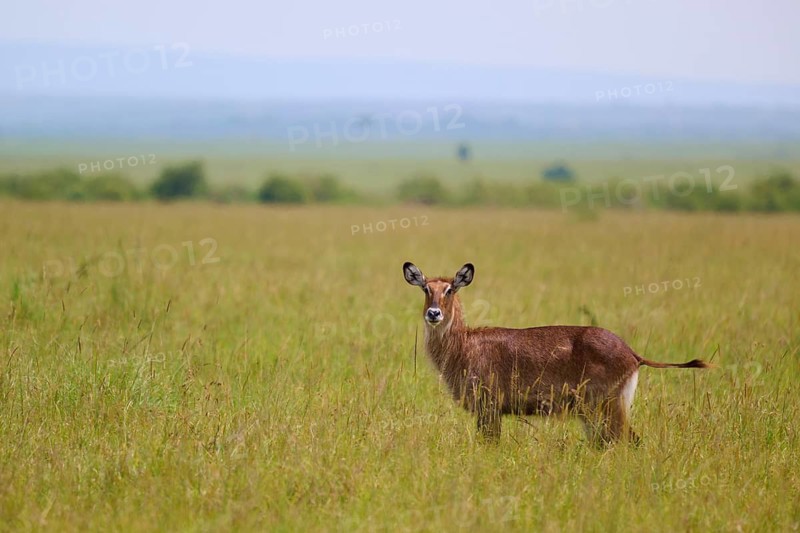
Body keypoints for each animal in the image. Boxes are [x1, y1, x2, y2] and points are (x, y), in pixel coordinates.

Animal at [403, 262, 710, 445]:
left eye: (450, 289)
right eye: (426, 288)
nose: (434, 313)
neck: (464, 347)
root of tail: (633, 354)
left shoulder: (489, 407)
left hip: (605, 406)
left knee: (628, 440)